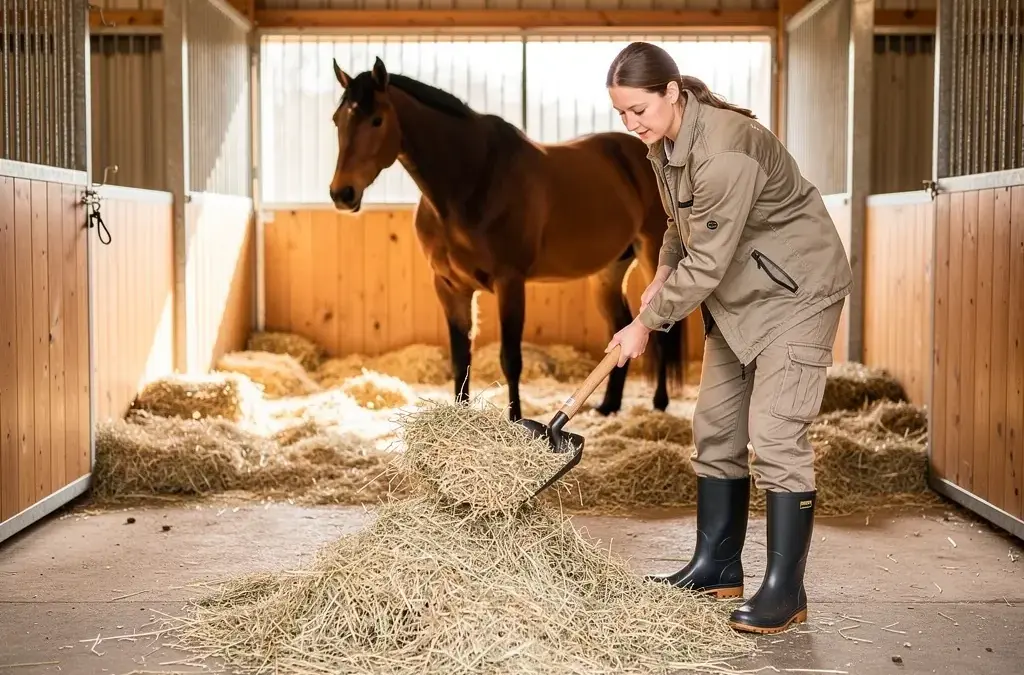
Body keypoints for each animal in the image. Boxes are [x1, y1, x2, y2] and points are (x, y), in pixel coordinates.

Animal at [328, 56, 687, 422]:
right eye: (337, 120)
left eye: (377, 120)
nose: (342, 193)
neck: (470, 182)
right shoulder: (449, 286)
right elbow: (461, 359)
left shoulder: (510, 282)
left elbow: (511, 360)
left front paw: (515, 421)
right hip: (608, 271)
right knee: (621, 326)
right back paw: (609, 405)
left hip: (652, 254)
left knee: (659, 332)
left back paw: (659, 402)